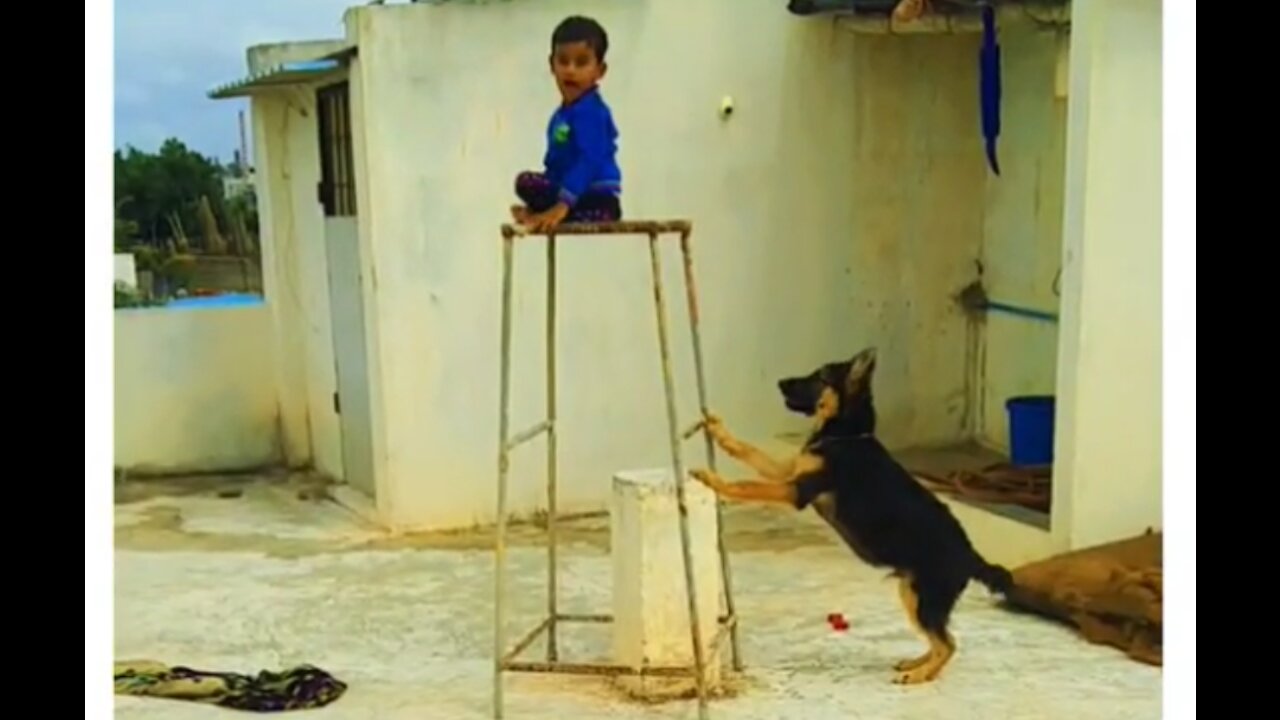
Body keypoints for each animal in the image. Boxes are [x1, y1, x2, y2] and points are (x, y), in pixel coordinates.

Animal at [691, 348, 1008, 681]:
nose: (780, 383)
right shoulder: (788, 473)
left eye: (820, 377)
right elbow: (750, 451)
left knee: (948, 645)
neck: (844, 435)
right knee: (939, 641)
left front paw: (715, 481)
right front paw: (719, 432)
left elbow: (747, 485)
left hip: (925, 596)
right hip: (911, 593)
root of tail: (972, 557)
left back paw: (919, 676)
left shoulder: (796, 491)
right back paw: (916, 664)